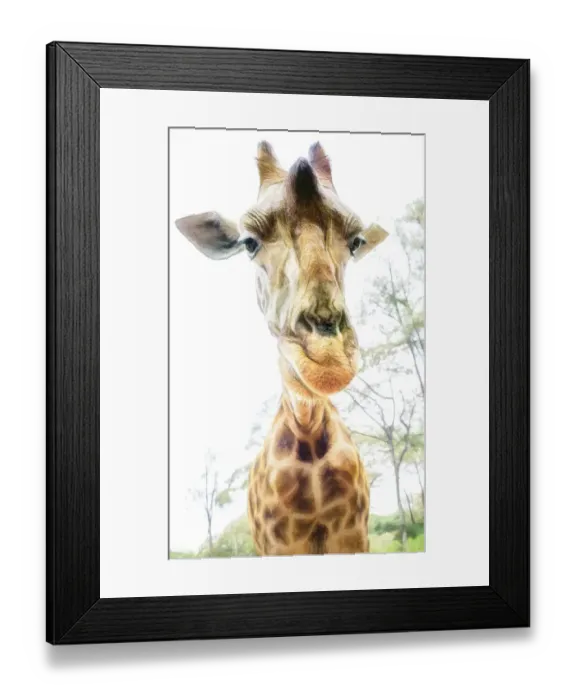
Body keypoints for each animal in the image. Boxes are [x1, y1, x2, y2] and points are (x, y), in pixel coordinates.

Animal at [175, 140, 389, 556]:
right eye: (248, 242)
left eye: (355, 242)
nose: (327, 359)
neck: (308, 435)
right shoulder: (276, 544)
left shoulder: (354, 536)